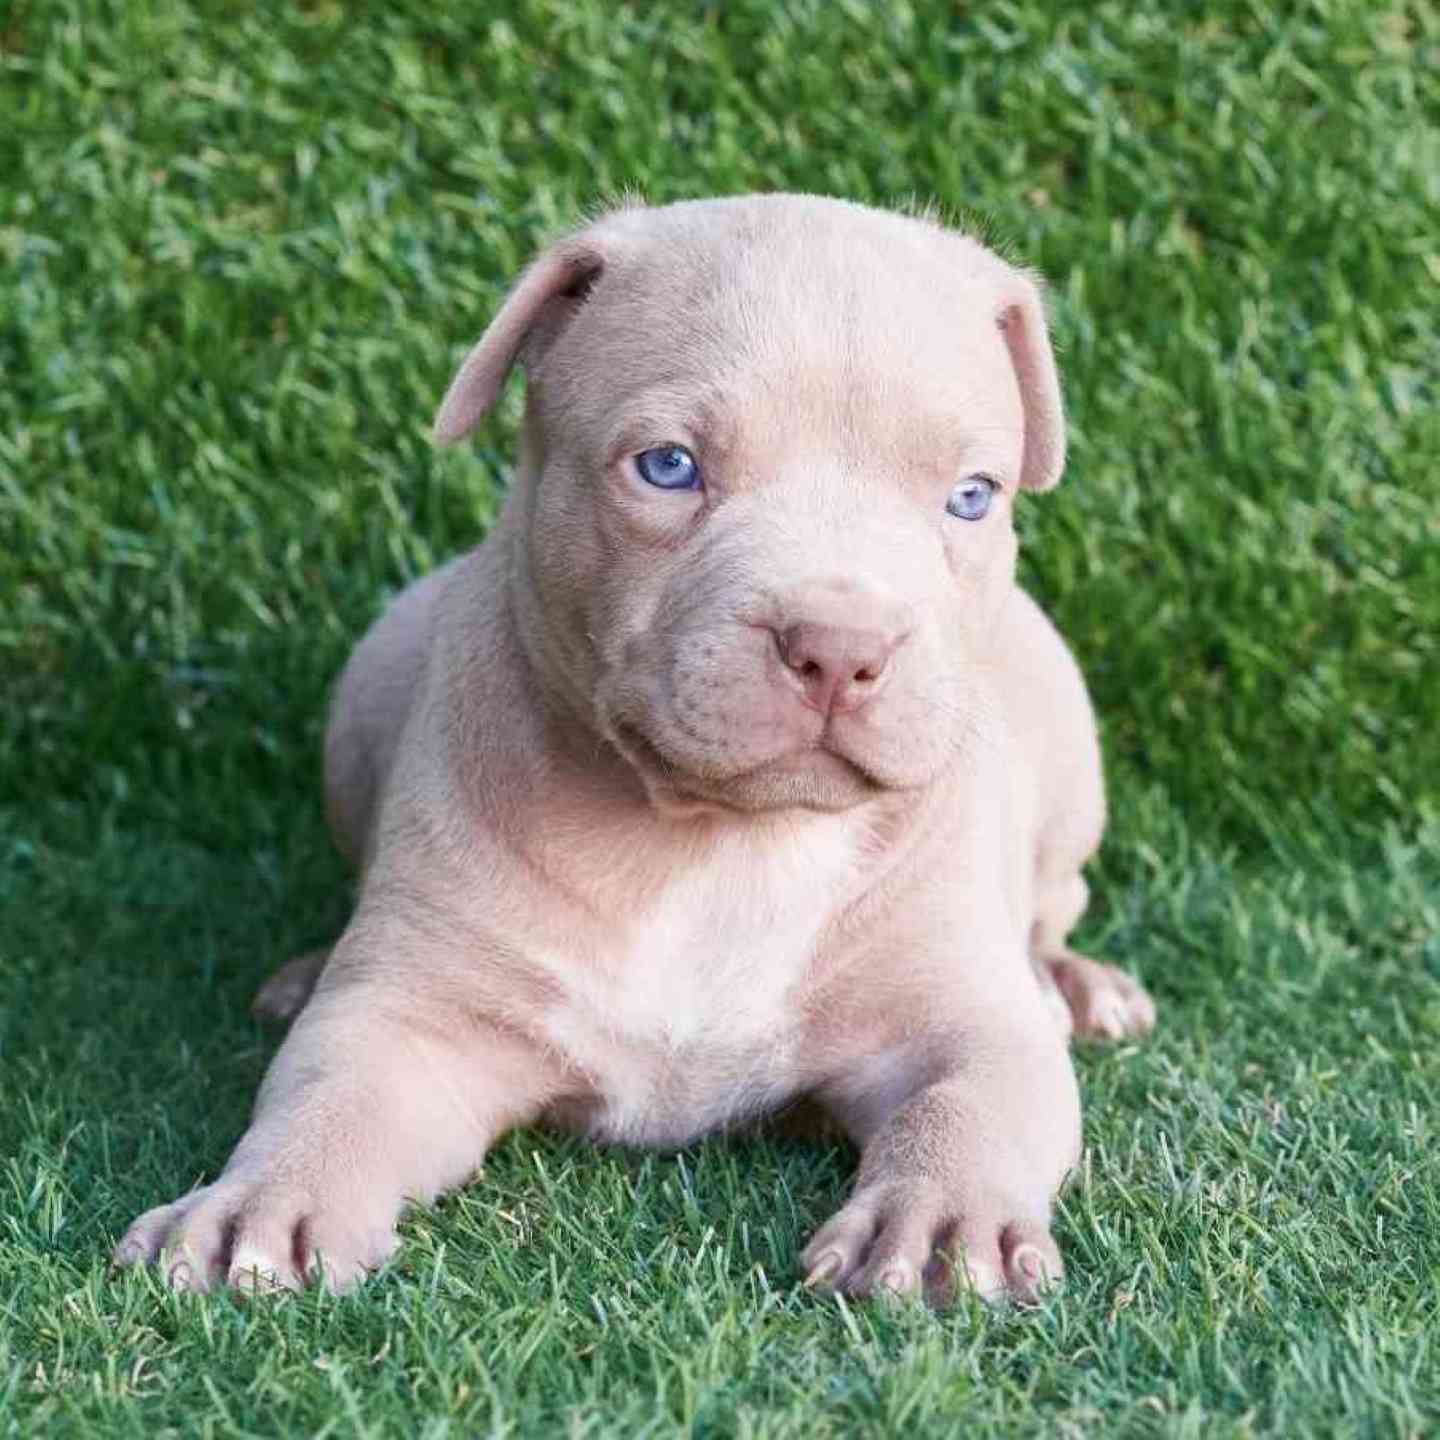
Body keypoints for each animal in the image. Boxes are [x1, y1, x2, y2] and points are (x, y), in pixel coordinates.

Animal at [112, 194, 1152, 1307]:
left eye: (971, 496)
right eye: (668, 466)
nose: (839, 646)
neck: (721, 843)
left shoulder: (960, 1014)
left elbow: (974, 1099)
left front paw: (943, 1223)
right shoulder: (410, 1022)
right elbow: (329, 1095)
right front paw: (261, 1205)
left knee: (1050, 909)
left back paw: (1077, 987)